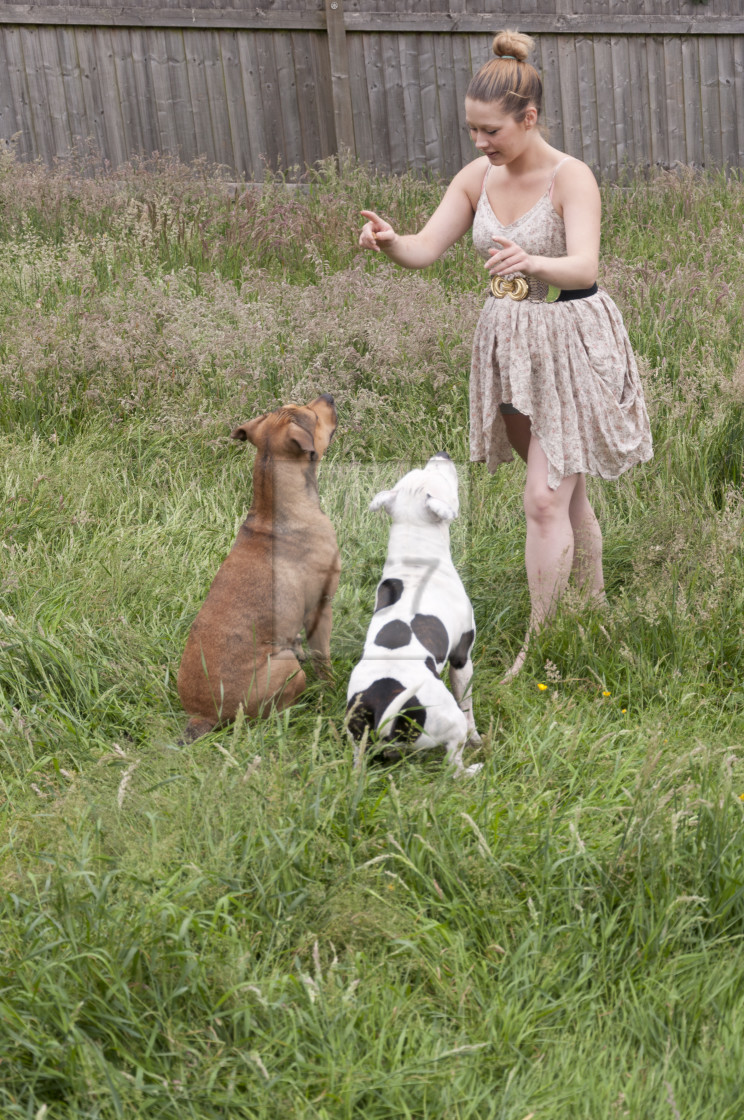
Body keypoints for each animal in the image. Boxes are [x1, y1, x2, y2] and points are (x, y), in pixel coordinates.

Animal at [179, 398, 340, 739]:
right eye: (312, 414)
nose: (328, 396)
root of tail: (202, 716)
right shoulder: (321, 607)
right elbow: (324, 659)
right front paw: (332, 688)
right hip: (286, 668)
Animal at [345, 450, 479, 775]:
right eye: (440, 477)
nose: (442, 453)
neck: (416, 560)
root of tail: (383, 711)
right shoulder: (462, 656)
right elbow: (468, 702)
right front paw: (477, 738)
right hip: (448, 721)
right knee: (453, 765)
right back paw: (471, 771)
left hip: (357, 737)